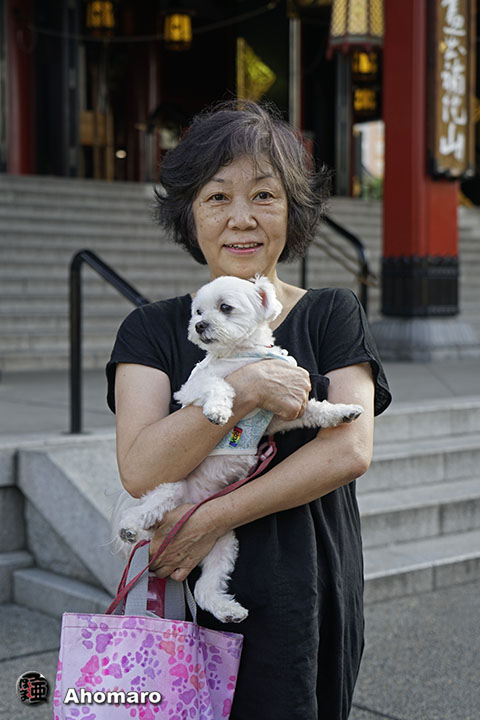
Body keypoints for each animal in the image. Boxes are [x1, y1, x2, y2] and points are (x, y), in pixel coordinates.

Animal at [114, 275, 364, 623]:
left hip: (222, 543)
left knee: (206, 587)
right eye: (198, 311)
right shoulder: (191, 388)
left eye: (225, 308)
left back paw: (227, 610)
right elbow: (221, 385)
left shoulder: (278, 418)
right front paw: (218, 411)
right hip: (170, 490)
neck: (242, 354)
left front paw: (342, 412)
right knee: (142, 511)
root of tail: (194, 501)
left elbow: (314, 410)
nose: (200, 325)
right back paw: (130, 528)